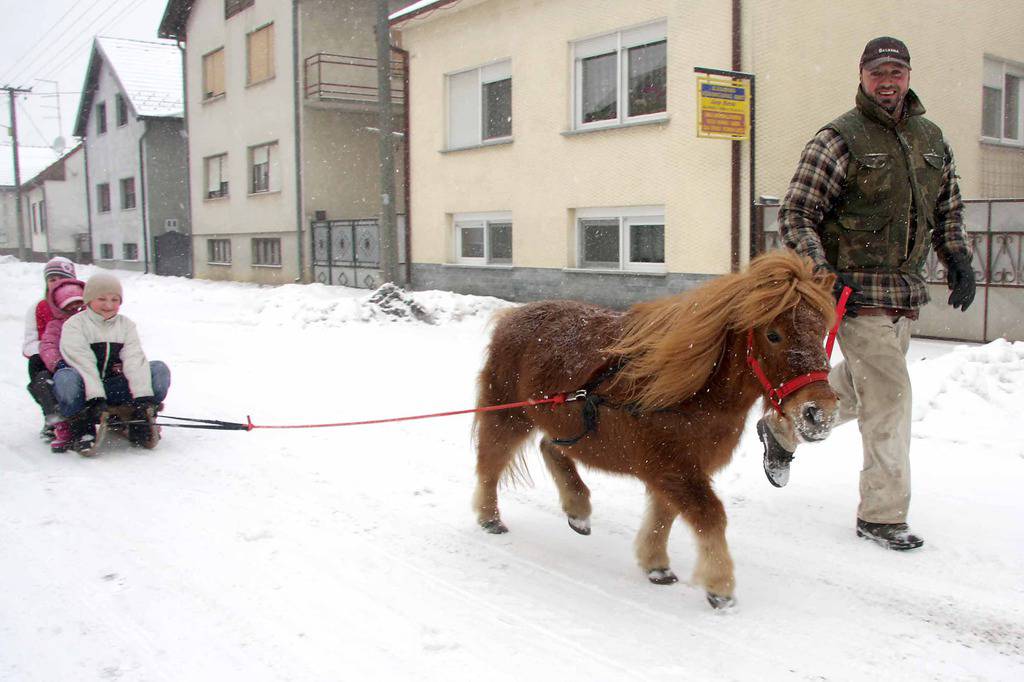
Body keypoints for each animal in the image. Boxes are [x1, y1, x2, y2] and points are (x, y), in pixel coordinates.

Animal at [471, 249, 839, 606]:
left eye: (822, 331)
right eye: (773, 334)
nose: (819, 413)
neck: (694, 394)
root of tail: (511, 317)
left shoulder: (675, 470)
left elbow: (665, 515)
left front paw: (656, 565)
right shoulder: (673, 468)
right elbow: (710, 515)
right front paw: (720, 586)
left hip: (567, 425)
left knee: (551, 447)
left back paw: (578, 509)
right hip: (508, 416)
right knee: (491, 462)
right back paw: (490, 518)